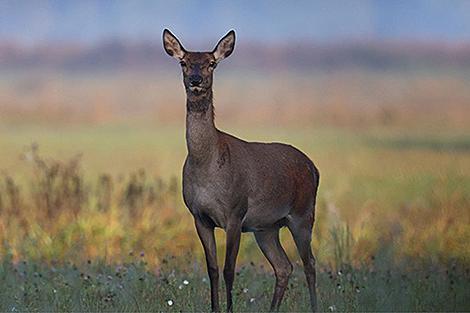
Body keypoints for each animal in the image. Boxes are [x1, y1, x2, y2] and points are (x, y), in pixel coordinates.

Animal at [162, 28, 320, 310]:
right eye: (184, 62)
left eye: (211, 63)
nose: (195, 80)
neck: (206, 166)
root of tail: (314, 168)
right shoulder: (199, 217)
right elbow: (212, 269)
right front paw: (214, 308)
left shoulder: (235, 212)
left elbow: (229, 269)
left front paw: (229, 308)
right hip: (266, 228)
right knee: (284, 266)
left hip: (303, 213)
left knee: (310, 264)